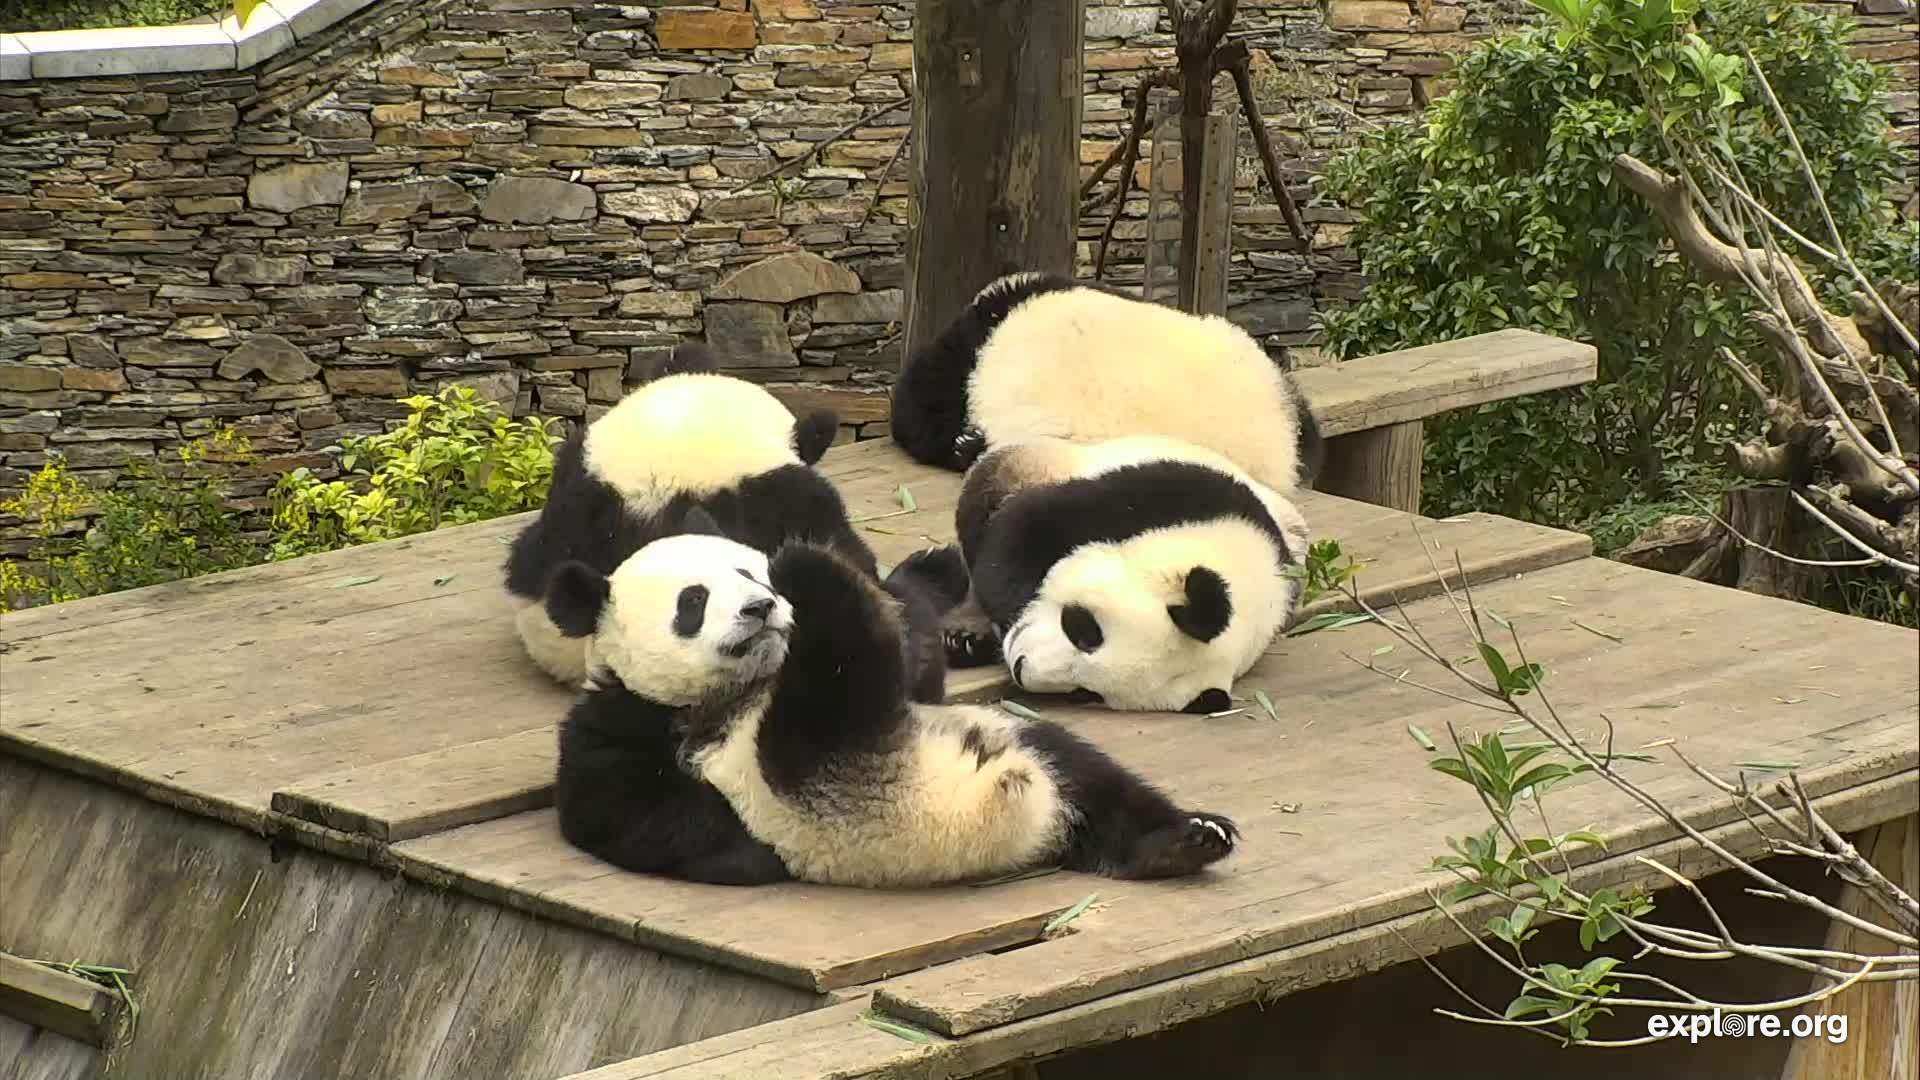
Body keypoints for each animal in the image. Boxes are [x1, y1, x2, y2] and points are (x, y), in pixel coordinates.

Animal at [543, 508, 1241, 889]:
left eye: (744, 573)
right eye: (693, 601)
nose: (762, 605)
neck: (745, 687)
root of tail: (1017, 814)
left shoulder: (914, 686)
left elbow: (917, 656)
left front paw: (928, 574)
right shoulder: (620, 717)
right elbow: (620, 810)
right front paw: (746, 853)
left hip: (1018, 740)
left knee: (1097, 781)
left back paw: (1187, 839)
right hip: (829, 766)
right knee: (836, 684)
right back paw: (813, 570)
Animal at [939, 433, 1312, 717]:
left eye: (1084, 692)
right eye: (1085, 630)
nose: (1019, 665)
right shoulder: (1157, 498)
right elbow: (1019, 535)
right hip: (1045, 460)